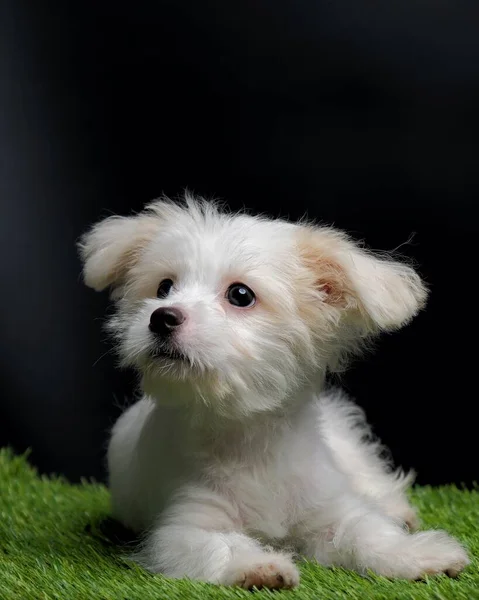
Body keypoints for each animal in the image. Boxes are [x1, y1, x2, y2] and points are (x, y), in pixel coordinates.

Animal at [80, 195, 470, 588]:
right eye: (163, 288)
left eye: (240, 295)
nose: (161, 317)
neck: (251, 438)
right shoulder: (185, 524)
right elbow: (216, 545)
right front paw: (259, 566)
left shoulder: (327, 508)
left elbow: (366, 530)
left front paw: (416, 554)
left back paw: (396, 510)